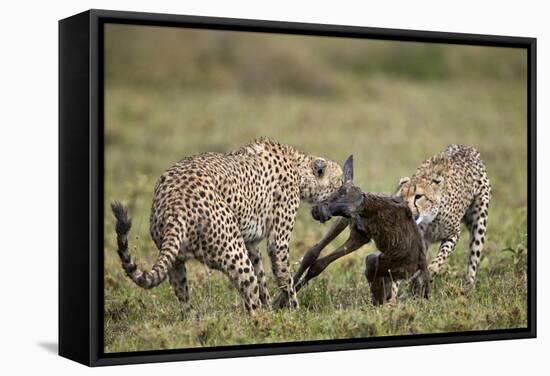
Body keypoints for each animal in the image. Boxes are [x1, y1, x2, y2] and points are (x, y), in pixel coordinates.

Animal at [111, 137, 344, 312]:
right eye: (340, 181)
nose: (346, 187)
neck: (297, 166)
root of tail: (175, 202)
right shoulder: (276, 243)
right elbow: (284, 277)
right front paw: (293, 312)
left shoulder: (250, 243)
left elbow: (262, 276)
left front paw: (271, 307)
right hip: (233, 252)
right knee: (251, 302)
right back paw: (261, 324)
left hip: (176, 259)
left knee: (183, 298)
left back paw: (194, 322)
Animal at [396, 144, 496, 290]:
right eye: (400, 198)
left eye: (418, 196)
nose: (406, 210)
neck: (429, 219)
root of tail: (466, 147)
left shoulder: (453, 234)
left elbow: (439, 260)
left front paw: (427, 274)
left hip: (479, 221)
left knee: (474, 256)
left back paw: (468, 286)